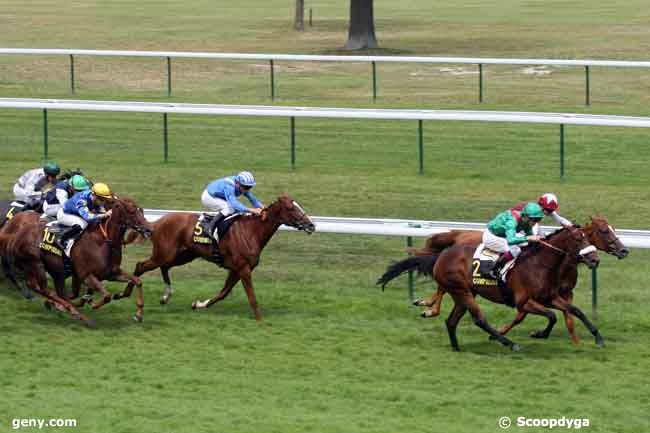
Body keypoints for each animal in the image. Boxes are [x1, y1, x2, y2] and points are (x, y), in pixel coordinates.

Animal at [115, 194, 316, 318]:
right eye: (291, 208)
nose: (311, 225)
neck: (251, 231)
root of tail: (156, 223)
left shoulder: (237, 269)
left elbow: (223, 293)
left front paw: (199, 304)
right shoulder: (243, 269)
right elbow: (251, 296)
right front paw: (260, 319)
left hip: (182, 255)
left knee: (164, 267)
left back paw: (165, 296)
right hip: (164, 253)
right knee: (141, 266)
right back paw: (123, 293)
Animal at [378, 226, 600, 352]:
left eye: (588, 238)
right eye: (578, 239)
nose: (595, 259)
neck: (538, 264)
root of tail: (440, 257)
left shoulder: (550, 297)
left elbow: (575, 310)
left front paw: (598, 338)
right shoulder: (524, 302)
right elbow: (552, 316)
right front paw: (539, 334)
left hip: (463, 293)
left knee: (451, 321)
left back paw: (456, 347)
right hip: (462, 291)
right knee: (479, 320)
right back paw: (510, 344)